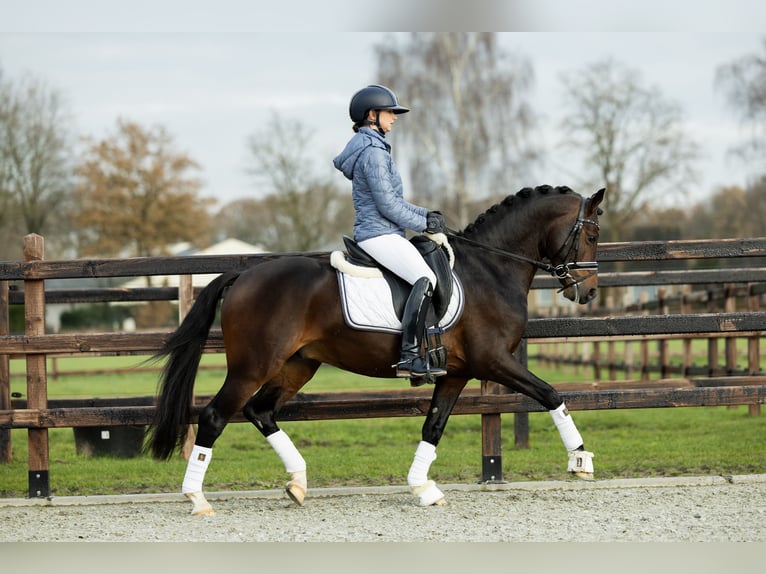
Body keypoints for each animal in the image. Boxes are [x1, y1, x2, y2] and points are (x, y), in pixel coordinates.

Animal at [147, 184, 606, 515]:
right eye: (592, 234)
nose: (588, 293)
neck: (490, 270)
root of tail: (243, 275)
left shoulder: (457, 373)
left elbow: (433, 426)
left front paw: (423, 488)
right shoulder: (494, 361)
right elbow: (550, 394)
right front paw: (581, 461)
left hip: (297, 365)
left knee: (260, 411)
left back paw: (297, 483)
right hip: (254, 365)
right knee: (215, 415)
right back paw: (197, 500)